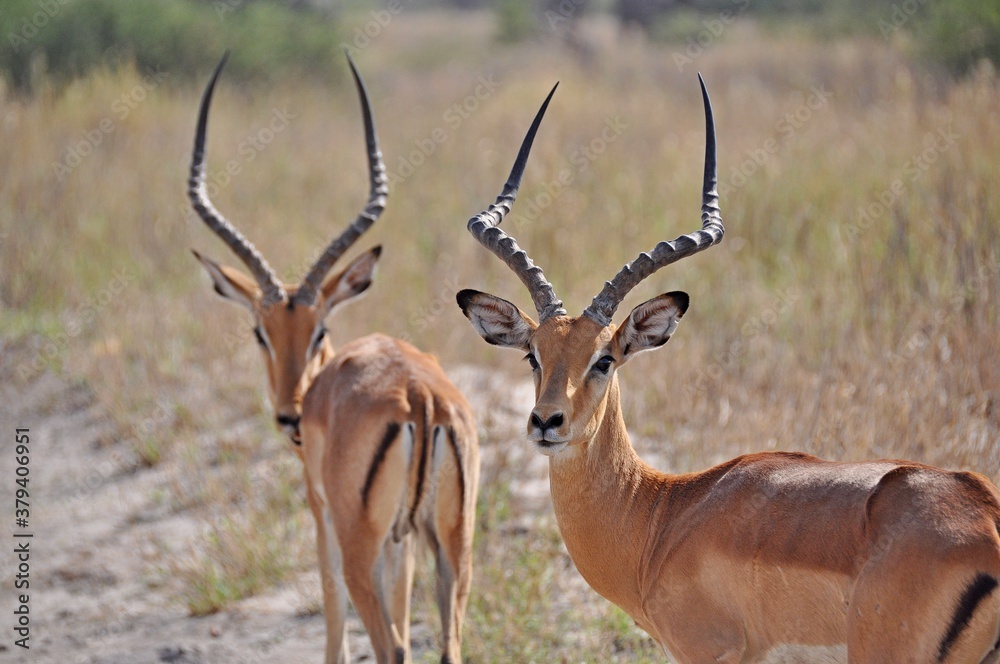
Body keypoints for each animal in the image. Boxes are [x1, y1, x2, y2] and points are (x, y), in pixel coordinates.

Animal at [188, 54, 479, 664]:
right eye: (262, 331)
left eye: (318, 328)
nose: (288, 414)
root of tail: (419, 395)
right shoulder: (402, 541)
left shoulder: (320, 511)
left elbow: (329, 607)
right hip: (452, 546)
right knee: (445, 645)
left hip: (360, 542)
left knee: (389, 643)